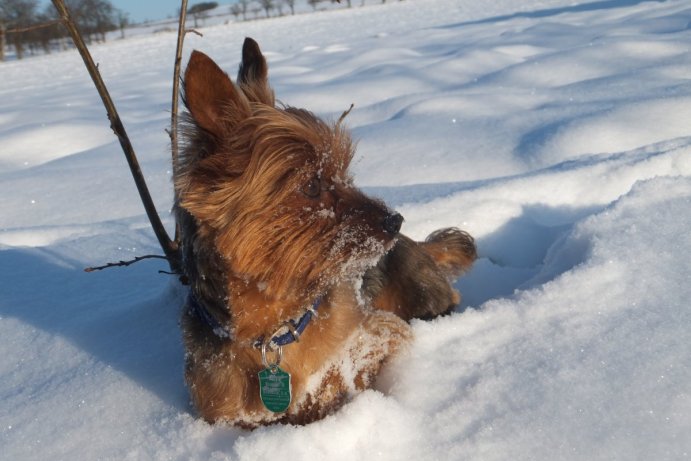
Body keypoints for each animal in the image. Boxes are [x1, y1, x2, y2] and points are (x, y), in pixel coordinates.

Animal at [176, 36, 476, 428]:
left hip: (424, 294)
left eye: (343, 173)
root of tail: (418, 246)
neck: (274, 331)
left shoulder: (378, 336)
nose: (395, 221)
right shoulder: (224, 413)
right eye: (312, 185)